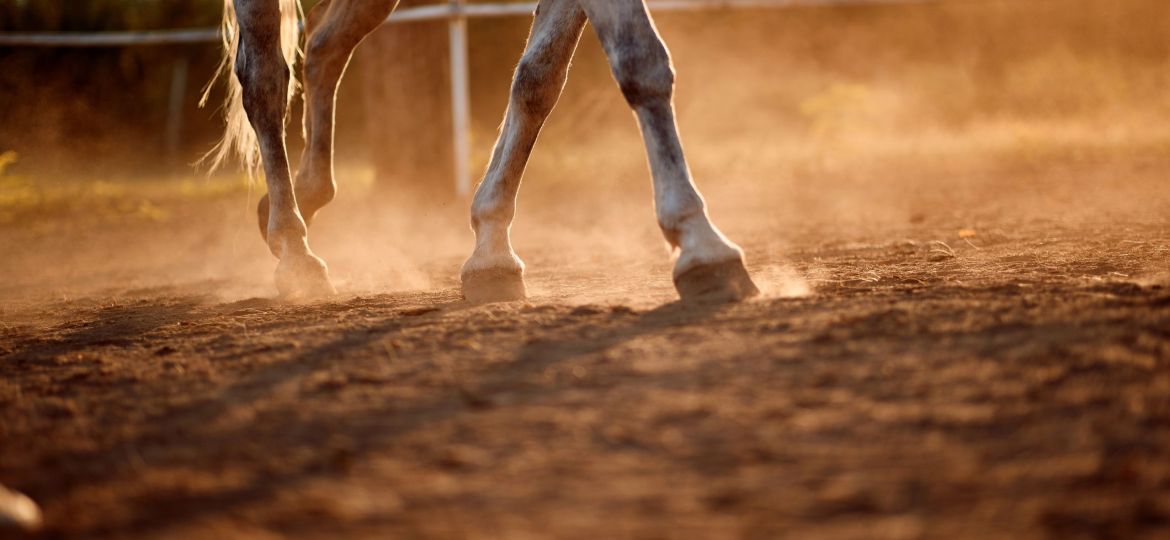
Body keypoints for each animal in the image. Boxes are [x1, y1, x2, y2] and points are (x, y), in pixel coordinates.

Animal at [208, 0, 761, 303]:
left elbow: (539, 78)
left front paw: (492, 249)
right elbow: (640, 60)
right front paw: (701, 243)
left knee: (325, 47)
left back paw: (300, 200)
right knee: (265, 79)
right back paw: (294, 250)